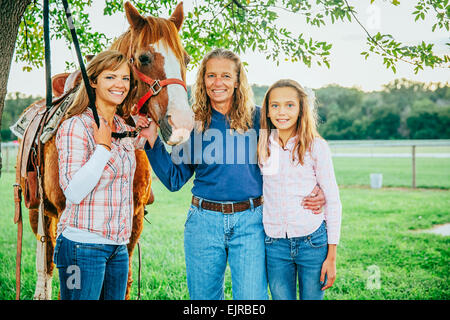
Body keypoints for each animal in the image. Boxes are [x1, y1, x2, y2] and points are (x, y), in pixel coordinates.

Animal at [13, 0, 193, 300]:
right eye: (143, 58)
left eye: (186, 59)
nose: (182, 124)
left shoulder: (133, 220)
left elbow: (125, 280)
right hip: (36, 211)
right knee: (46, 264)